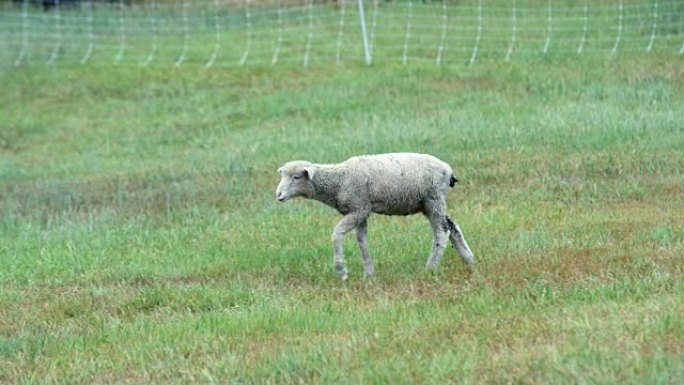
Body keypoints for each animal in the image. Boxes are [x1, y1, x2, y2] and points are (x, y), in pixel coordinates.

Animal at [276, 151, 476, 280]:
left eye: (296, 177)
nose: (278, 195)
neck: (339, 180)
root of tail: (448, 171)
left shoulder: (358, 209)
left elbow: (337, 233)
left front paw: (341, 270)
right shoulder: (361, 211)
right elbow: (362, 240)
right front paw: (369, 274)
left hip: (433, 198)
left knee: (442, 231)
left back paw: (430, 267)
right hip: (428, 203)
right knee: (453, 227)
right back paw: (470, 261)